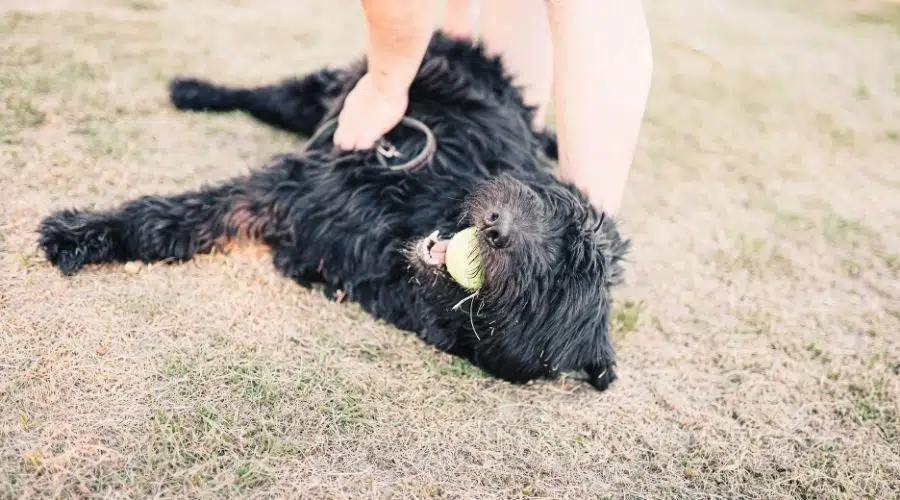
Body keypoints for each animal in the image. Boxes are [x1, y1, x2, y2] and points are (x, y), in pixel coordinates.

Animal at [38, 31, 628, 392]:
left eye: (543, 290)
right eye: (562, 219)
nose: (497, 224)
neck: (398, 238)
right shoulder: (300, 185)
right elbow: (170, 215)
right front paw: (77, 234)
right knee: (268, 98)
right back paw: (194, 90)